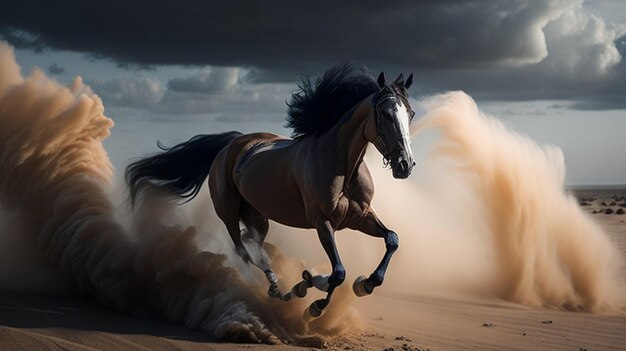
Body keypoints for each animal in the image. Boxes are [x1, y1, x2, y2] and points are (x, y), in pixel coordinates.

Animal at [125, 63, 414, 320]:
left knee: (253, 242)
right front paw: (315, 304)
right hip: (228, 213)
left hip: (258, 217)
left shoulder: (359, 217)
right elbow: (338, 272)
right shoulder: (322, 222)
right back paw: (280, 288)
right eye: (386, 114)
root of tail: (231, 144)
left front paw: (365, 283)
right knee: (244, 251)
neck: (341, 165)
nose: (405, 165)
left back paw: (292, 284)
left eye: (409, 114)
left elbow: (392, 239)